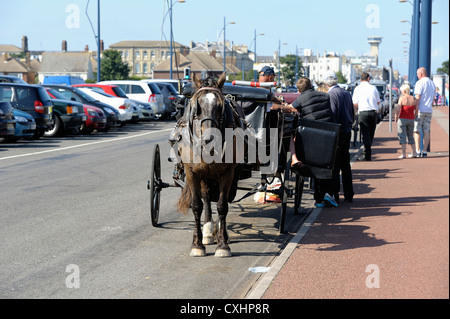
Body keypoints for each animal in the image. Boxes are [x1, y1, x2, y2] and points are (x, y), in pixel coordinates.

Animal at [176, 72, 241, 258]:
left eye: (220, 107)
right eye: (197, 108)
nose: (209, 139)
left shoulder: (227, 173)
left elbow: (222, 206)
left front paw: (223, 244)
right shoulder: (192, 173)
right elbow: (197, 205)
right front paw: (197, 244)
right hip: (204, 176)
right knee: (205, 197)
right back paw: (207, 232)